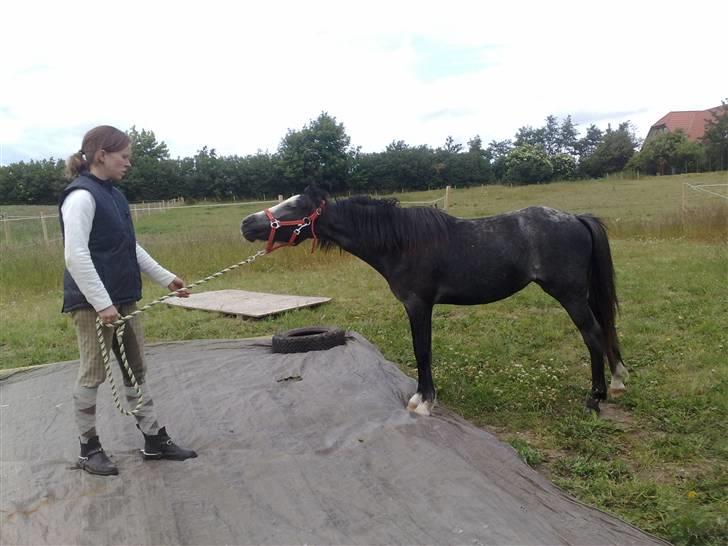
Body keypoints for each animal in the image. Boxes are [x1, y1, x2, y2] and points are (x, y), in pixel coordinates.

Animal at [242, 185, 628, 414]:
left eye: (294, 208)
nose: (247, 224)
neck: (401, 242)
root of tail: (576, 217)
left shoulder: (418, 304)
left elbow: (422, 351)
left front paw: (423, 401)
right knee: (604, 331)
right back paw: (617, 382)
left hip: (570, 295)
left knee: (593, 335)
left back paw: (595, 397)